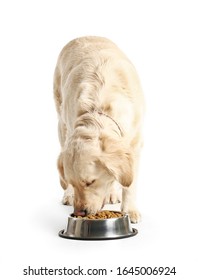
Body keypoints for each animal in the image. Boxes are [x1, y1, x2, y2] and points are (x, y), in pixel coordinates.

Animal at [53, 35, 145, 223]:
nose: (80, 213)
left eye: (90, 182)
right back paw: (68, 195)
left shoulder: (135, 144)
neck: (99, 112)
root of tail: (82, 36)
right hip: (61, 124)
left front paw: (130, 210)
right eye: (73, 182)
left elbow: (129, 183)